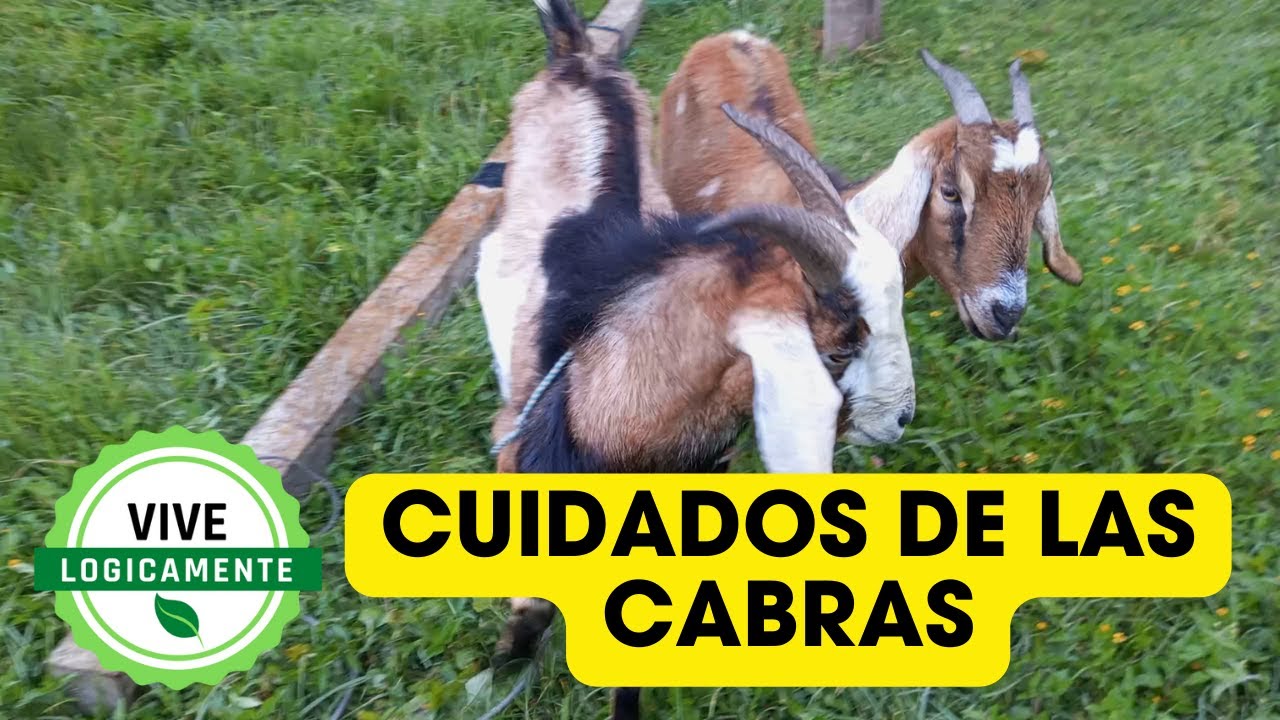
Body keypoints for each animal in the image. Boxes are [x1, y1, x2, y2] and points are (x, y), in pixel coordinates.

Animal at [475, 1, 915, 715]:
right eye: (840, 345)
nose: (900, 419)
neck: (605, 398)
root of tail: (576, 56)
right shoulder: (518, 456)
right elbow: (532, 602)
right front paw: (500, 672)